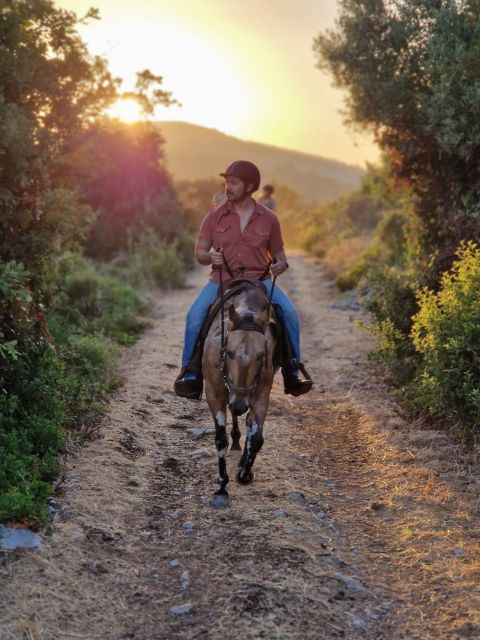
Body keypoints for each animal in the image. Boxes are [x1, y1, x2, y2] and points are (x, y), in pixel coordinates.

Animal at [202, 282, 278, 508]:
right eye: (229, 352)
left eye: (261, 355)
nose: (238, 404)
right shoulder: (214, 392)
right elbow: (220, 439)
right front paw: (221, 487)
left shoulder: (261, 393)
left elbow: (257, 437)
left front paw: (245, 473)